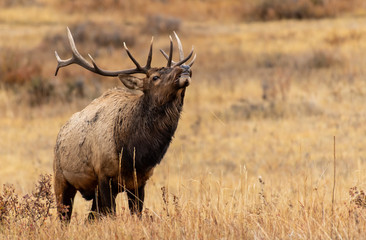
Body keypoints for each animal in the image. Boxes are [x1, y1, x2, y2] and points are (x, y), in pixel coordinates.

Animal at [53, 26, 196, 221]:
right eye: (155, 77)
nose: (185, 68)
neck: (134, 153)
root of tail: (60, 133)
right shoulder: (103, 175)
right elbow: (112, 214)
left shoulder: (140, 181)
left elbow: (137, 213)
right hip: (61, 180)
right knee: (64, 217)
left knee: (89, 218)